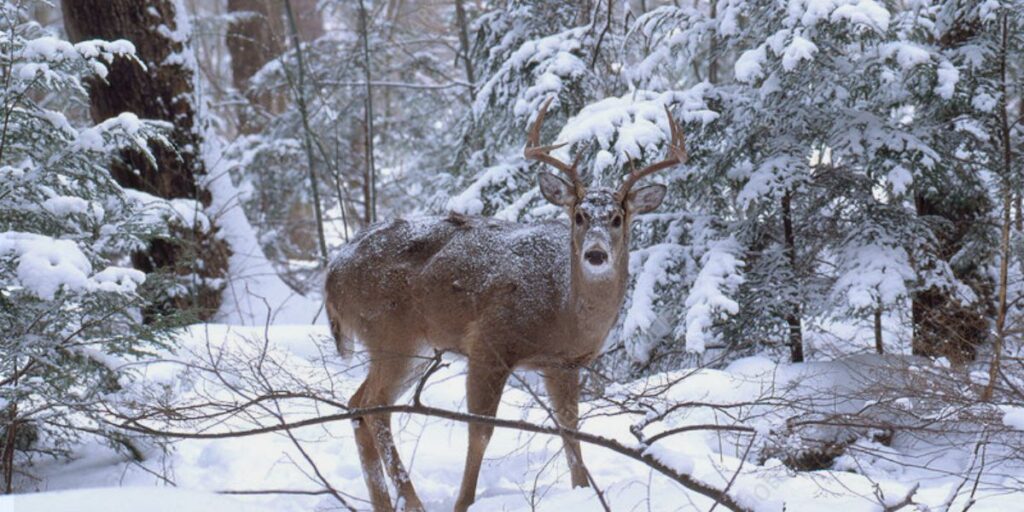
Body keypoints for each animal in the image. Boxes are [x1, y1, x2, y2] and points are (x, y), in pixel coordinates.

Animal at [323, 97, 684, 509]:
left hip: (413, 347)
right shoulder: (489, 343)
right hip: (390, 333)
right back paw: (411, 501)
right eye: (579, 216)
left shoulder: (564, 363)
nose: (595, 254)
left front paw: (581, 492)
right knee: (374, 407)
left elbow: (570, 429)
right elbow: (480, 431)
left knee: (357, 403)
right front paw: (464, 502)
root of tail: (332, 273)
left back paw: (385, 502)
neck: (562, 311)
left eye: (617, 218)